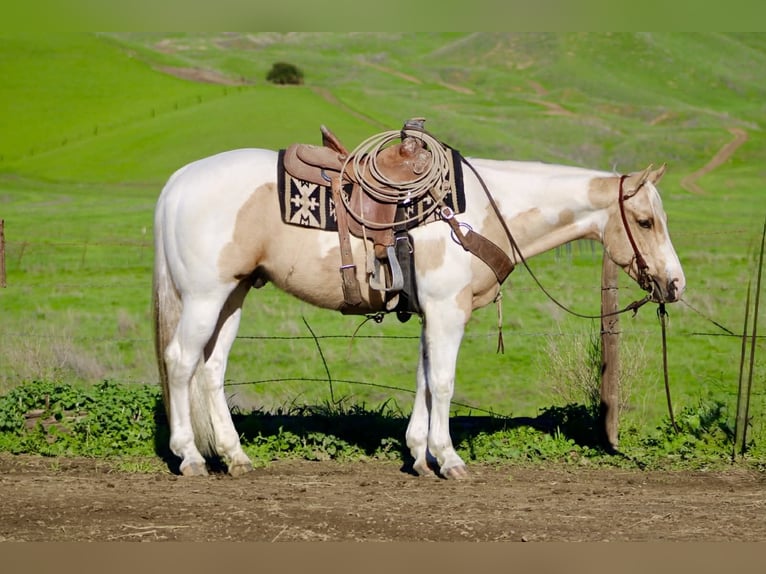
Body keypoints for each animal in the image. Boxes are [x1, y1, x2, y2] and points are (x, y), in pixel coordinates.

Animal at [153, 141, 685, 479]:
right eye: (644, 221)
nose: (675, 284)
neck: (477, 214)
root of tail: (177, 182)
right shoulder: (447, 312)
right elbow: (444, 383)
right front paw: (448, 459)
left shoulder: (433, 313)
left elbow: (426, 380)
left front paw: (419, 454)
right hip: (204, 296)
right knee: (180, 363)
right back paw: (190, 457)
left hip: (233, 295)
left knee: (211, 369)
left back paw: (233, 457)